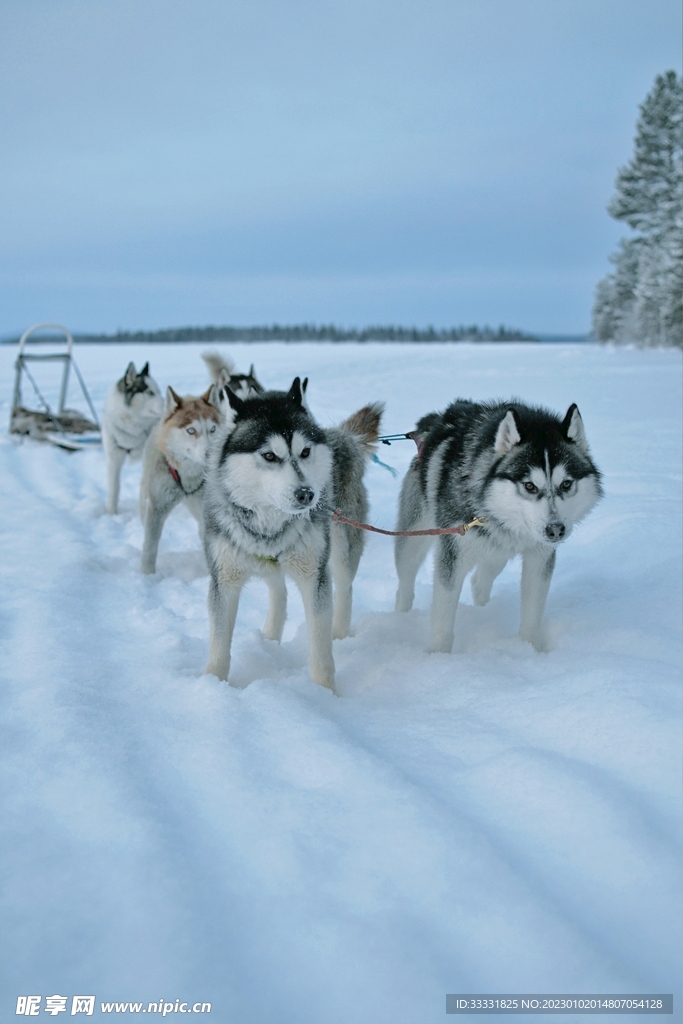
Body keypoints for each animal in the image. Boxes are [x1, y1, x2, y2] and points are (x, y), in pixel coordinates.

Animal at [139, 385, 222, 573]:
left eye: (213, 429)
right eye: (191, 430)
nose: (210, 454)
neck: (188, 476)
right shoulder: (157, 507)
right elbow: (150, 547)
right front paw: (147, 575)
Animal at [202, 380, 385, 692]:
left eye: (305, 452)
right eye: (269, 455)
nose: (307, 494)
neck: (270, 522)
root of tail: (342, 435)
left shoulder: (314, 577)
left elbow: (321, 652)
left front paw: (325, 694)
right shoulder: (223, 580)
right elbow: (218, 648)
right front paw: (213, 686)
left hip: (341, 548)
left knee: (344, 589)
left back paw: (340, 634)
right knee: (280, 592)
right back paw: (270, 638)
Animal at [395, 401, 602, 655]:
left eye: (566, 484)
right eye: (529, 486)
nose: (555, 530)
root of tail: (434, 421)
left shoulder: (539, 557)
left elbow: (533, 612)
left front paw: (531, 649)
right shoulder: (452, 555)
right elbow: (443, 616)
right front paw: (438, 655)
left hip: (497, 553)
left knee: (480, 582)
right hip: (413, 540)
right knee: (405, 584)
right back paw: (401, 617)